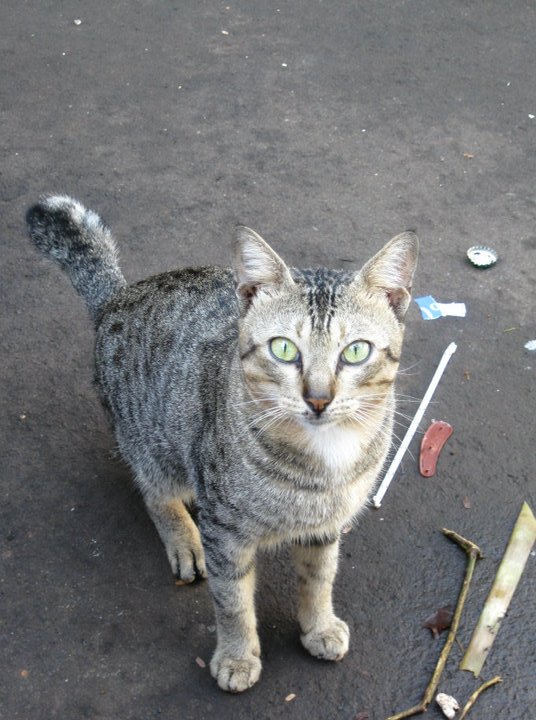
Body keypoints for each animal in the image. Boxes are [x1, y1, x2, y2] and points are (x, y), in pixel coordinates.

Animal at [27, 197, 416, 692]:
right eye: (284, 349)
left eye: (356, 352)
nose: (318, 398)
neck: (321, 460)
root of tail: (117, 297)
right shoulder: (225, 531)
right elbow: (232, 601)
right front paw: (236, 656)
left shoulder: (327, 524)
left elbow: (320, 577)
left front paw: (319, 626)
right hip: (152, 445)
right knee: (155, 493)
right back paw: (182, 539)